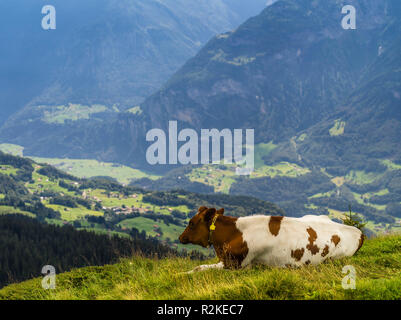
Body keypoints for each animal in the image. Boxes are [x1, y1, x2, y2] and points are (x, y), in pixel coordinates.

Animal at [178, 208, 362, 272]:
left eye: (191, 223)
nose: (180, 237)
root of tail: (358, 232)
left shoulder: (236, 265)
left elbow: (199, 268)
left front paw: (182, 273)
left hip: (334, 258)